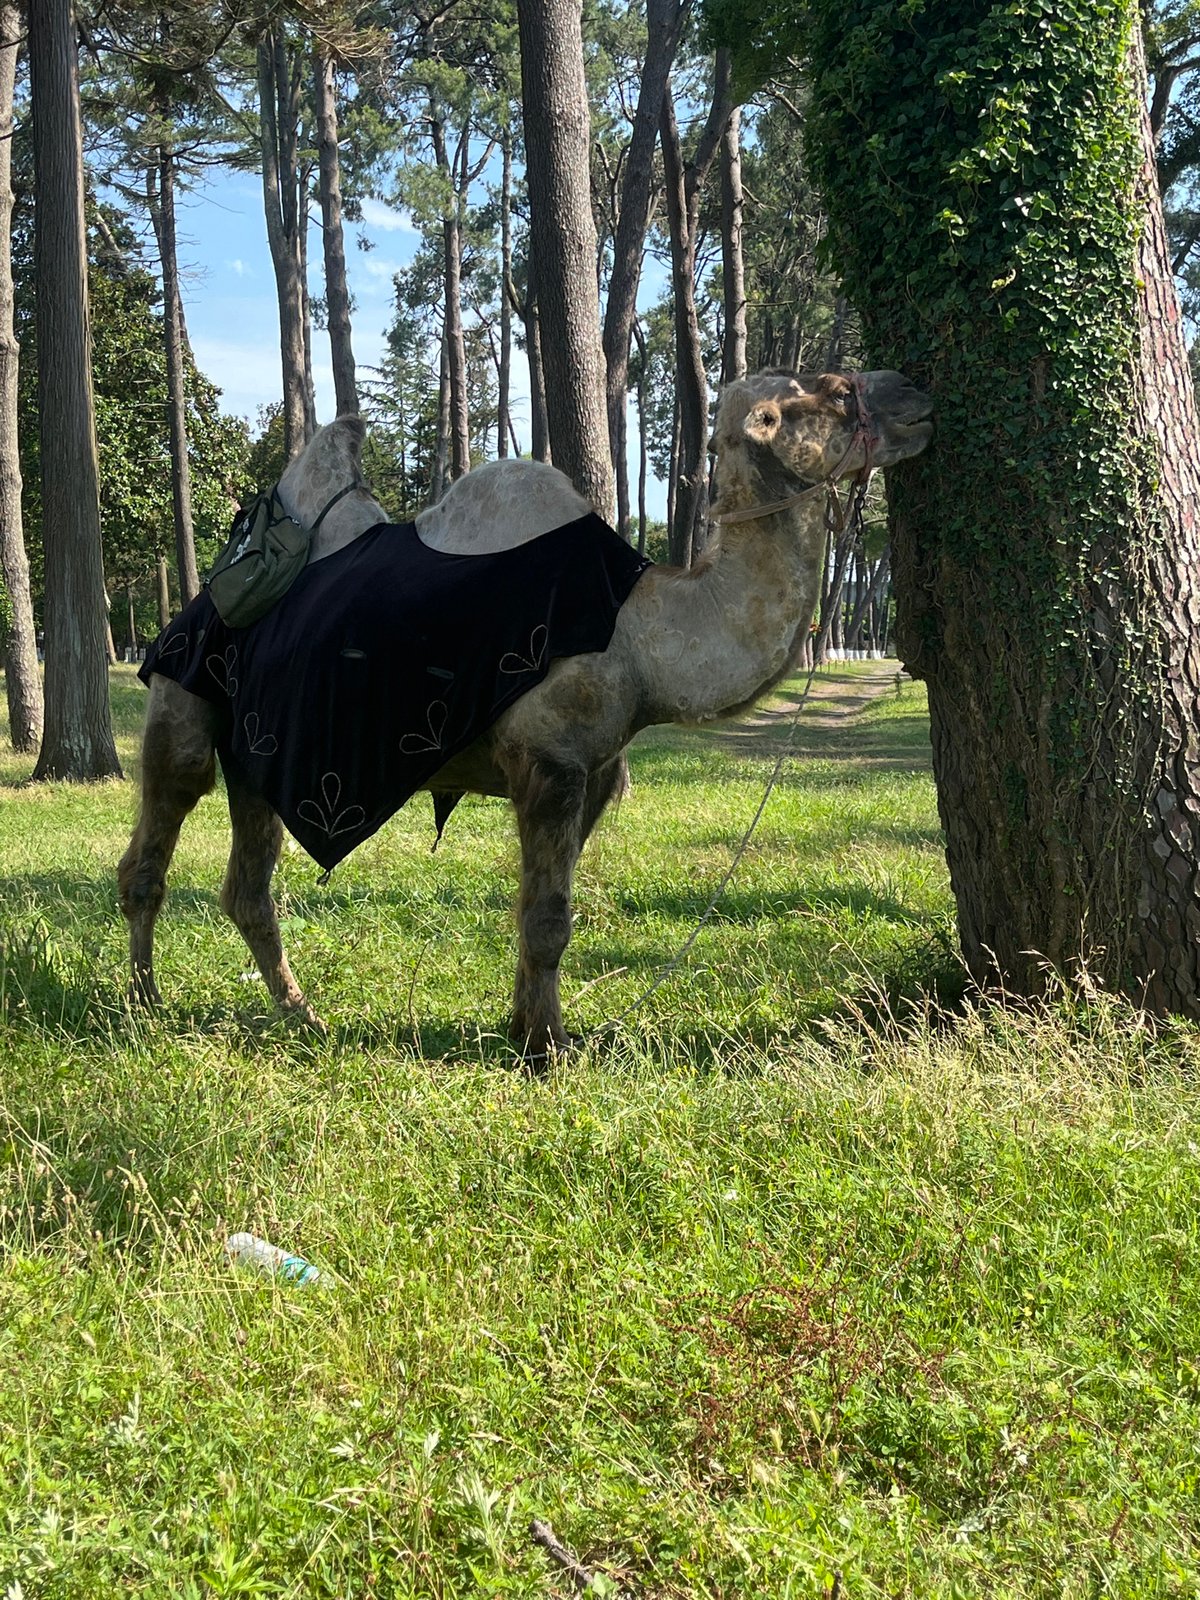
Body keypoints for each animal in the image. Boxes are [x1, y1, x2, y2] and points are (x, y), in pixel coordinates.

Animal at [118, 368, 933, 1055]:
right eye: (832, 390)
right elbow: (547, 920)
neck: (639, 634)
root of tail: (196, 600)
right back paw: (144, 1008)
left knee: (247, 888)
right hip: (183, 693)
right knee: (155, 843)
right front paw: (545, 1049)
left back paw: (302, 1017)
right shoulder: (551, 757)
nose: (914, 392)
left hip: (259, 750)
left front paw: (522, 1028)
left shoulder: (596, 771)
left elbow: (541, 905)